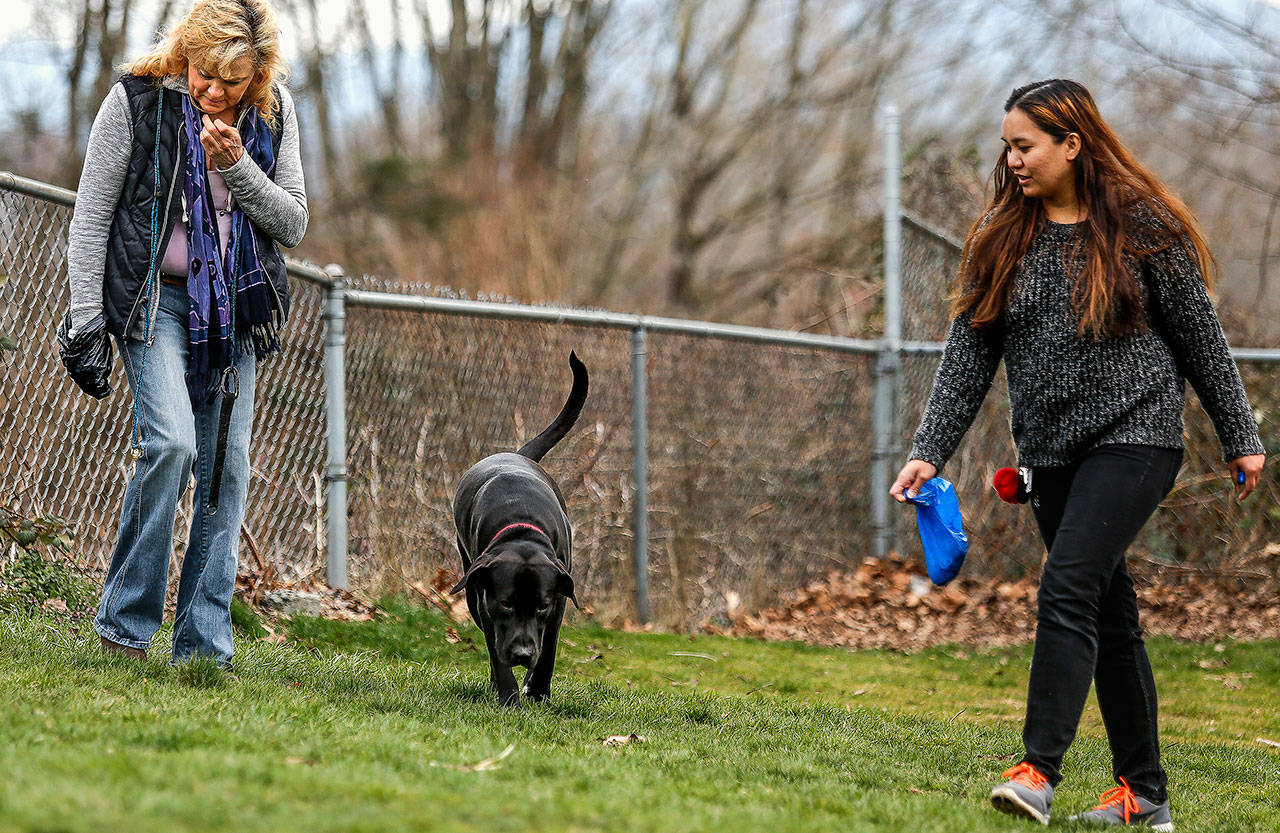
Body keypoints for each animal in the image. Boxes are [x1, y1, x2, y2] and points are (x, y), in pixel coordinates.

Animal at [450, 355, 588, 706]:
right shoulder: (485, 600)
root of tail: (515, 454)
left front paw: (537, 692)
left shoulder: (558, 601)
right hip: (469, 587)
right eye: (507, 603)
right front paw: (508, 696)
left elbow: (549, 650)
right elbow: (496, 651)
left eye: (540, 605)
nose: (524, 654)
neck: (523, 531)